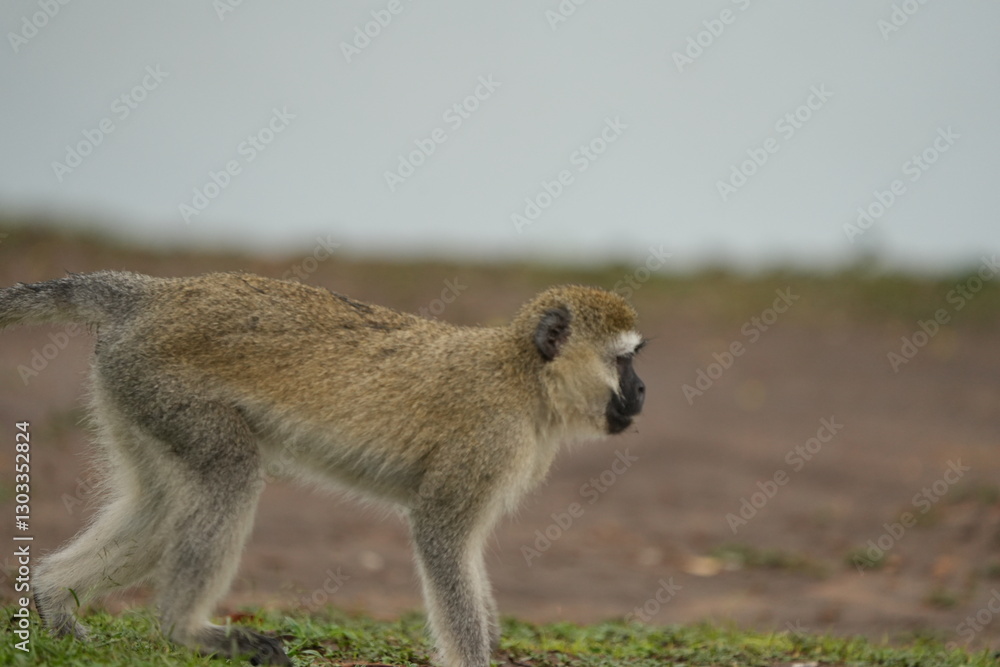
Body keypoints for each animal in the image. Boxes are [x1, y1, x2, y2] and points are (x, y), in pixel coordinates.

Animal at [0, 270, 645, 666]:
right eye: (623, 361)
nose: (643, 390)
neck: (525, 376)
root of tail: (155, 293)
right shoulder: (490, 440)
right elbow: (441, 535)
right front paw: (472, 657)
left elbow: (465, 553)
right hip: (162, 381)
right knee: (228, 473)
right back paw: (185, 629)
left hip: (132, 389)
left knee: (161, 504)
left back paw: (55, 599)